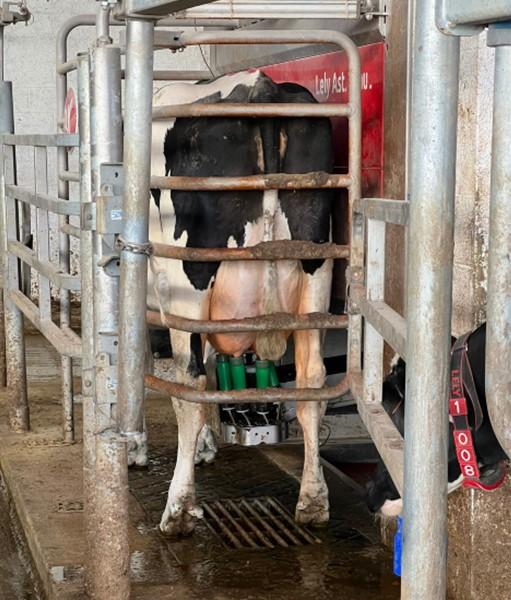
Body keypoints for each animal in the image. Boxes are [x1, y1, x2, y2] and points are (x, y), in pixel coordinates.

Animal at [143, 70, 336, 536]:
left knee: (189, 382)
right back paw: (313, 501)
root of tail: (261, 85)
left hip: (189, 280)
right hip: (316, 271)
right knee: (311, 380)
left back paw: (178, 509)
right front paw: (206, 447)